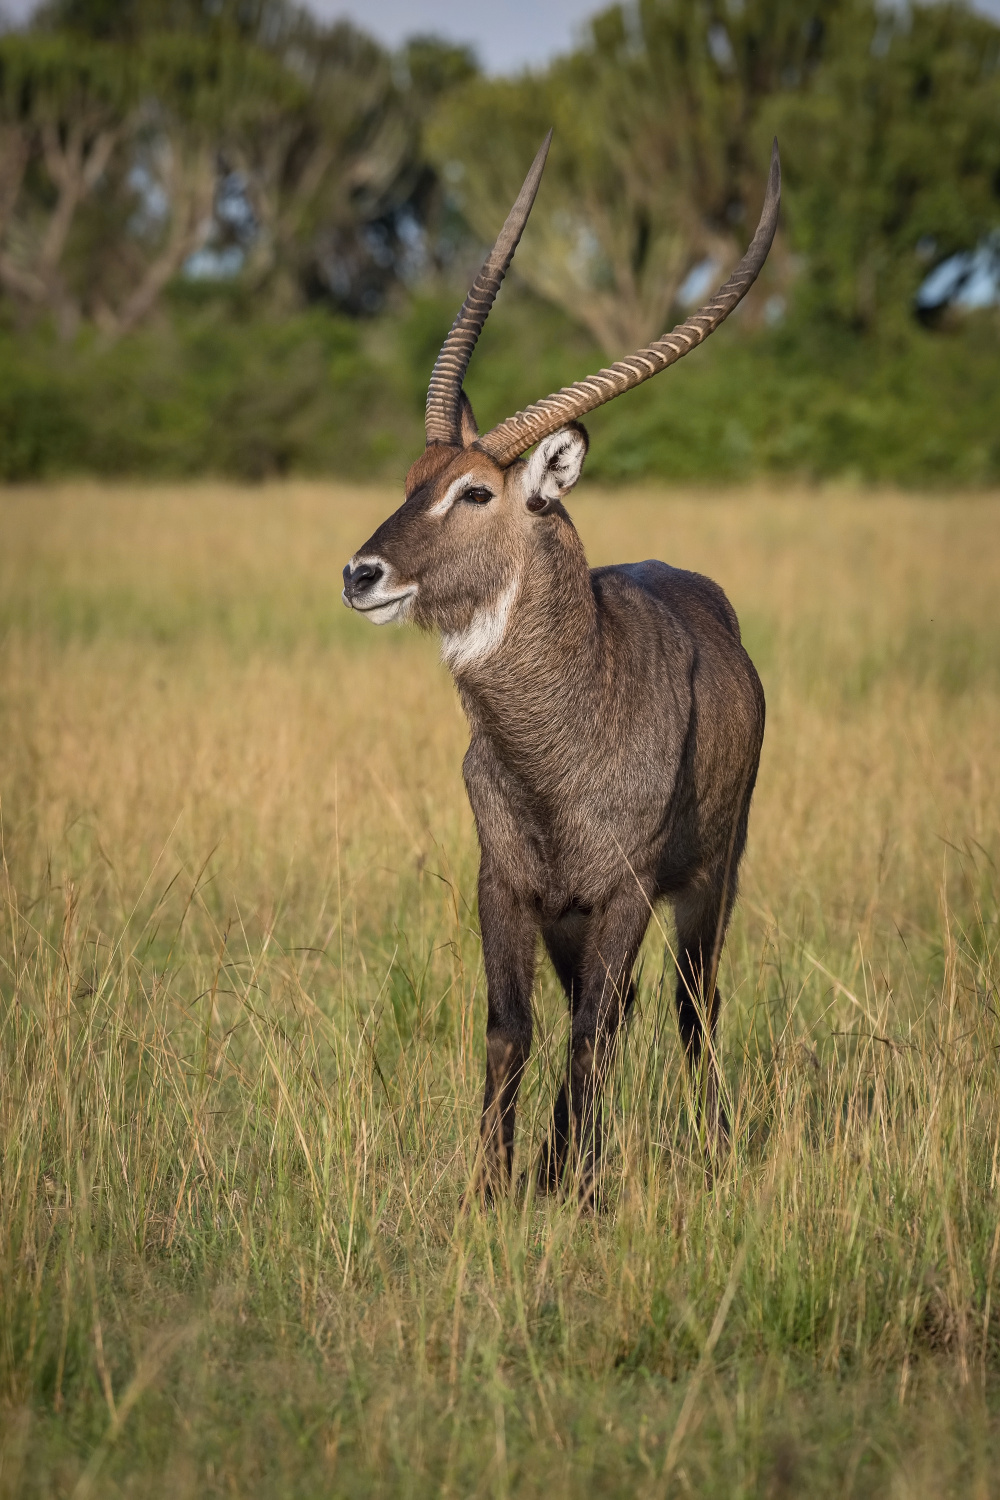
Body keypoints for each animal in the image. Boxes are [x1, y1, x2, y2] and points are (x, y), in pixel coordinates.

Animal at [344, 135, 779, 1200]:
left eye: (474, 492)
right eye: (410, 479)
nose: (361, 573)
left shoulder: (624, 891)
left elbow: (590, 1035)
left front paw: (574, 1188)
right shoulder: (506, 885)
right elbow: (511, 1029)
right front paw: (497, 1187)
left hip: (710, 880)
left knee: (688, 1009)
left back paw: (706, 1144)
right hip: (573, 917)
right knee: (612, 1011)